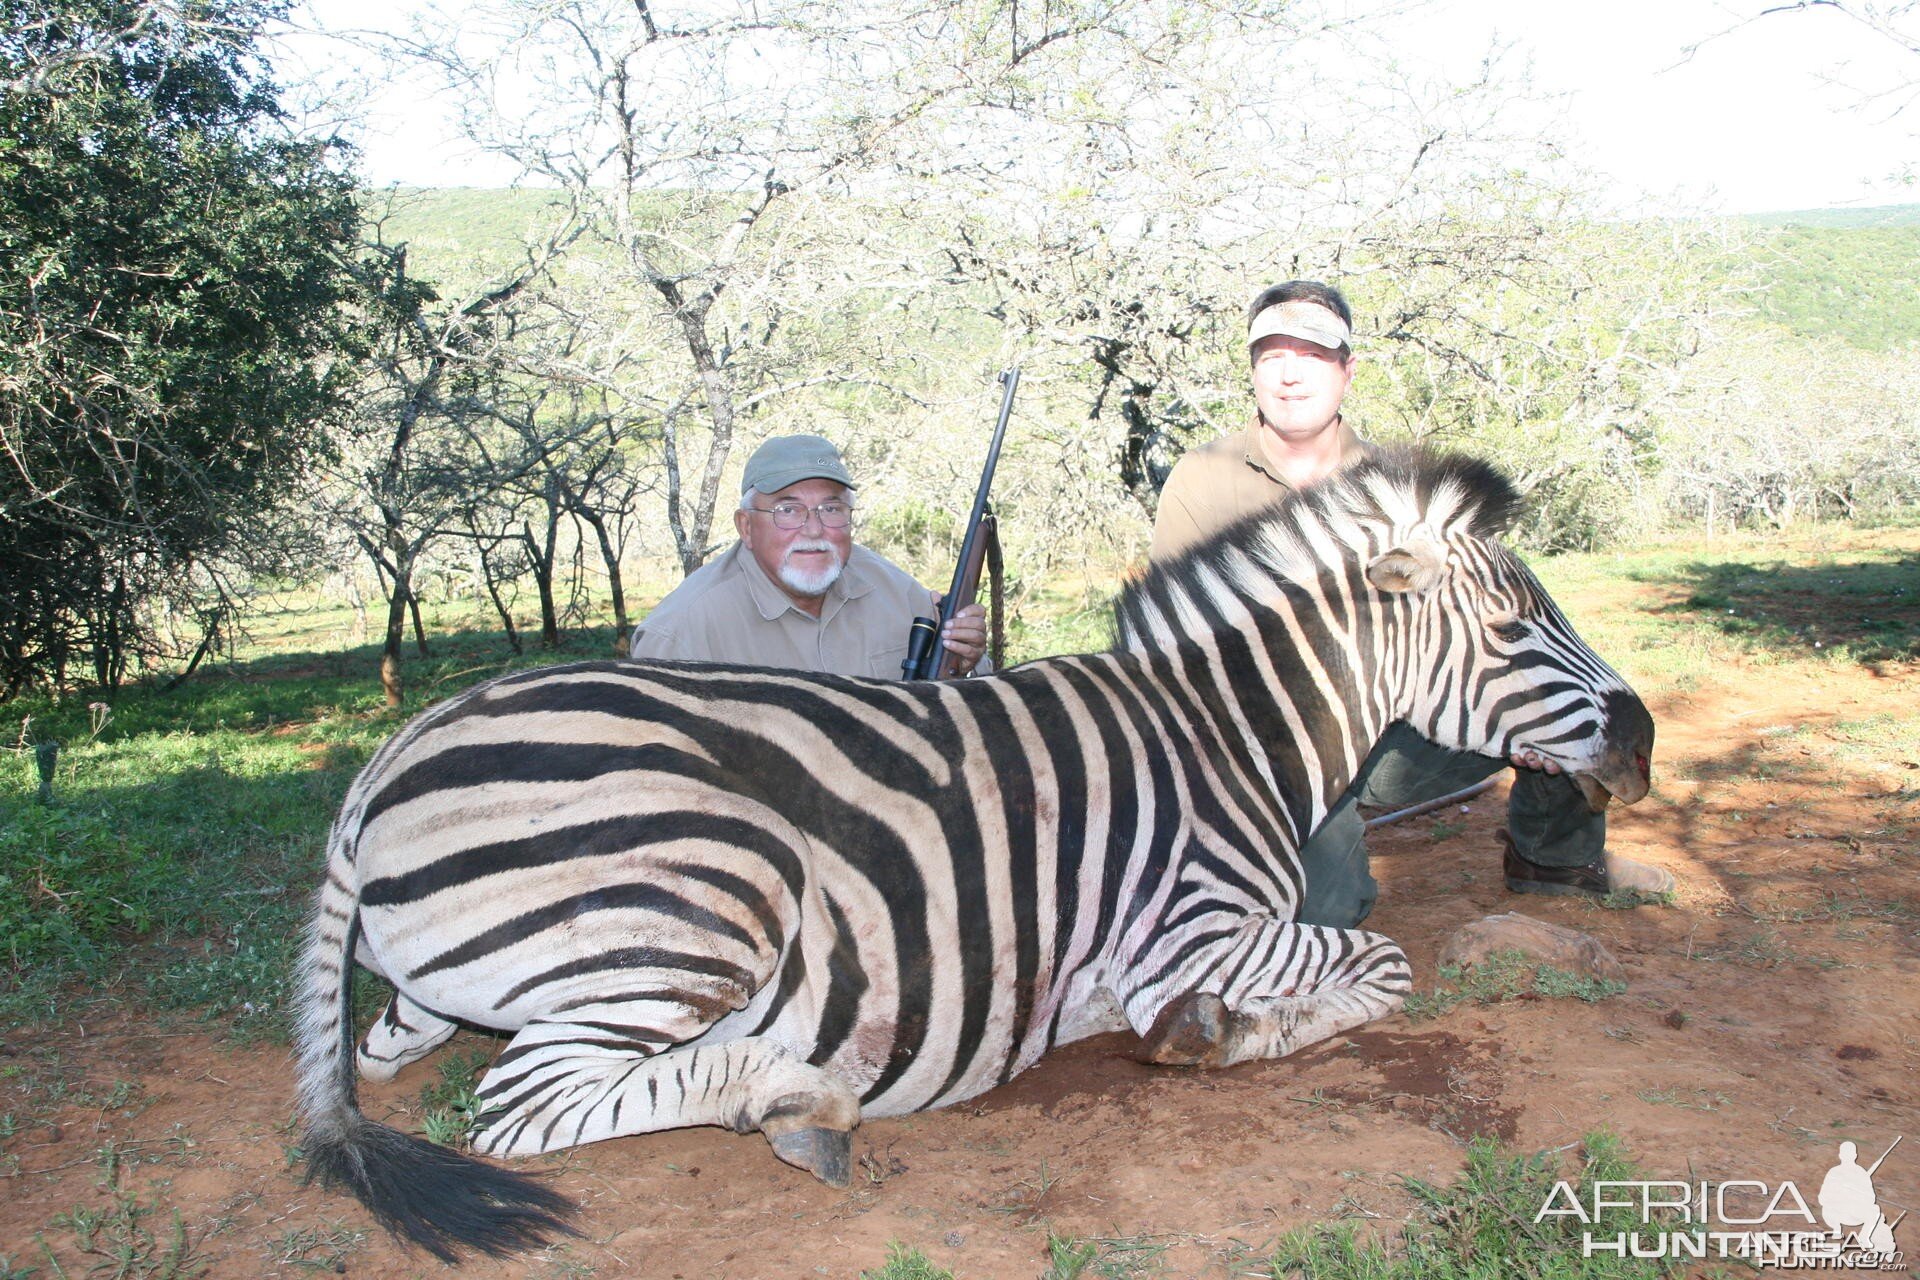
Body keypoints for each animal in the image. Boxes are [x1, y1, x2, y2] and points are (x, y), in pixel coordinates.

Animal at [295, 450, 1651, 1258]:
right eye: (1516, 623)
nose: (1639, 740)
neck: (1225, 733)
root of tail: (386, 760)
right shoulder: (1194, 931)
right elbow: (1381, 966)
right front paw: (1215, 1035)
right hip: (707, 896)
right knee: (522, 1104)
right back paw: (792, 1095)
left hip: (441, 983)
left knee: (389, 1051)